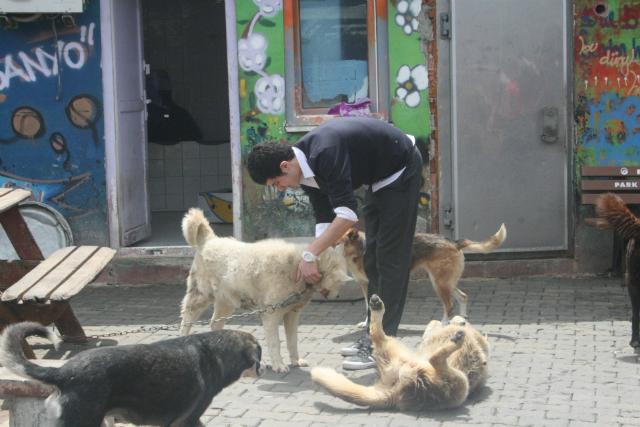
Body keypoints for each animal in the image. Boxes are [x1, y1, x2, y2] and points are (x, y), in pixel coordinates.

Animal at [312, 296, 492, 412]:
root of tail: (396, 392)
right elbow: (436, 323)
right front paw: (457, 321)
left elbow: (436, 325)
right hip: (458, 385)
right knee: (434, 358)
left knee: (377, 334)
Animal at [336, 224, 504, 324]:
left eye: (338, 243)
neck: (359, 250)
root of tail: (453, 242)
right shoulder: (365, 286)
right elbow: (367, 307)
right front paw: (367, 323)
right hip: (445, 282)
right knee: (463, 297)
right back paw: (461, 321)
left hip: (439, 283)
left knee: (449, 306)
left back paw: (443, 324)